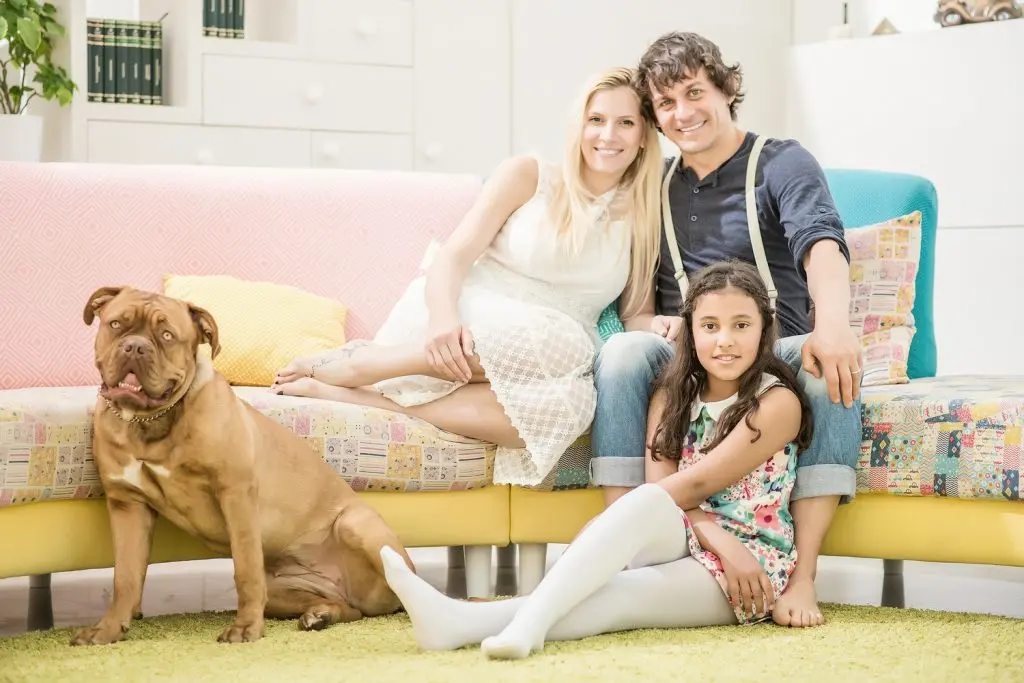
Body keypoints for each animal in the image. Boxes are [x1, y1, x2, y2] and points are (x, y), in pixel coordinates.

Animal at [71, 286, 415, 645]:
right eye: (116, 324)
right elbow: (125, 576)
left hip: (354, 525)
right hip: (285, 591)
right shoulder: (128, 505)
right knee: (349, 609)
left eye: (167, 336)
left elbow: (246, 569)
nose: (135, 346)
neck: (149, 423)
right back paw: (320, 615)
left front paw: (246, 627)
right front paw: (107, 629)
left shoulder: (235, 493)